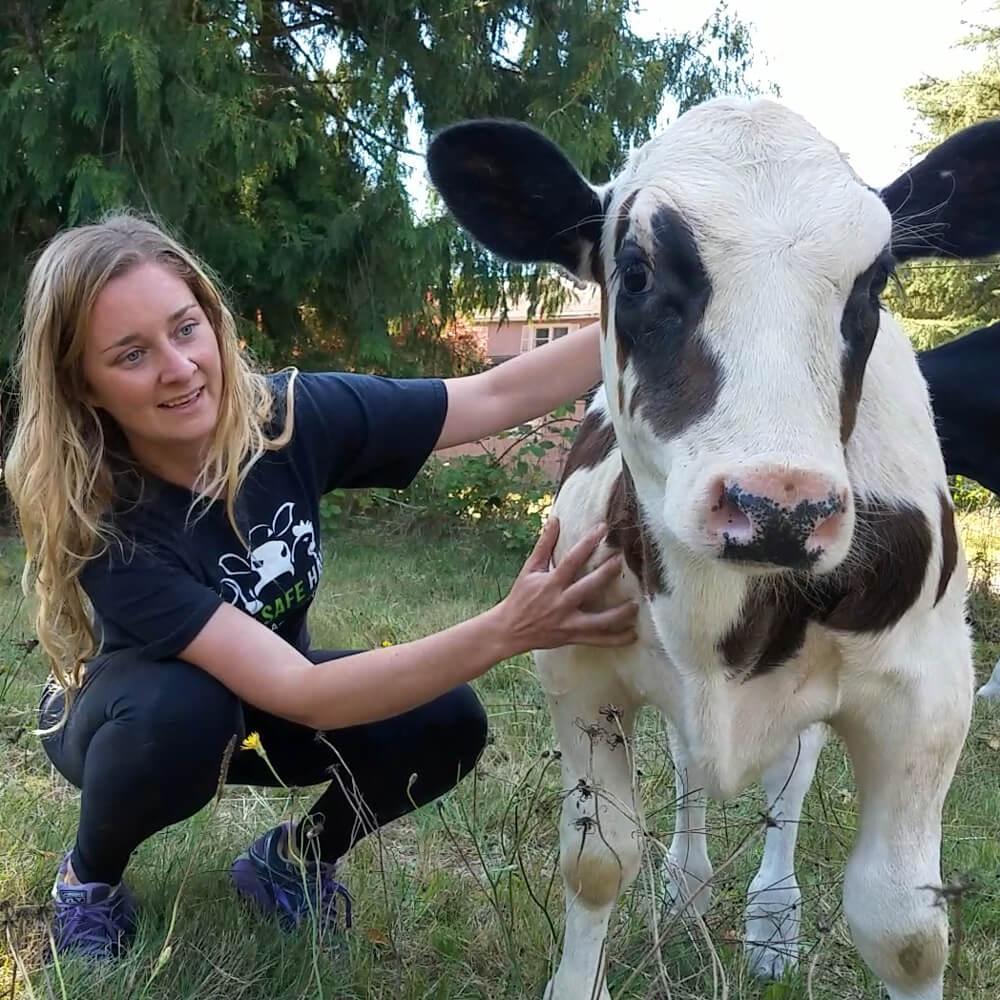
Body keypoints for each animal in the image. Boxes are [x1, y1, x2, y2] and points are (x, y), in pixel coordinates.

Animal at [427, 98, 1000, 1000]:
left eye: (875, 282)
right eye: (634, 271)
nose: (777, 508)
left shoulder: (930, 691)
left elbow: (904, 928)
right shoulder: (577, 669)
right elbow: (595, 859)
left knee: (789, 783)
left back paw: (771, 919)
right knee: (692, 768)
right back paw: (689, 887)